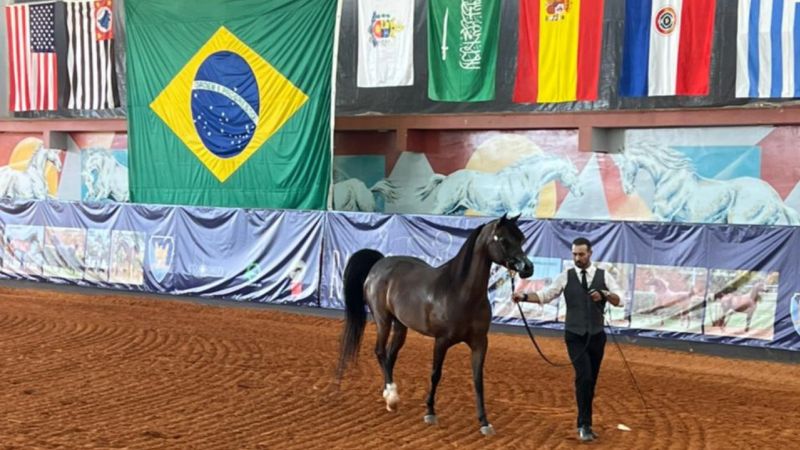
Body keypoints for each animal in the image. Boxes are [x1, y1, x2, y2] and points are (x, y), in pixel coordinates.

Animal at [336, 215, 534, 436]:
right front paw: (430, 412)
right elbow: (435, 375)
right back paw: (392, 398)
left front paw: (484, 422)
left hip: (400, 325)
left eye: (521, 238)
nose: (528, 268)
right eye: (503, 240)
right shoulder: (442, 341)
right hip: (383, 320)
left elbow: (478, 380)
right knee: (379, 351)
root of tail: (379, 264)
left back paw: (389, 395)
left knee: (389, 356)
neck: (460, 292)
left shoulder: (480, 343)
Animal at [416, 153, 583, 216]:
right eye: (573, 173)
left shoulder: (529, 214)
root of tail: (446, 178)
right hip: (442, 207)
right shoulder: (513, 212)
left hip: (457, 210)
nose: (581, 193)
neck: (525, 180)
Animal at [612, 141, 800, 225]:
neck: (669, 176)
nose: (627, 190)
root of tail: (775, 198)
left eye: (623, 166)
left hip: (742, 221)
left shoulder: (662, 216)